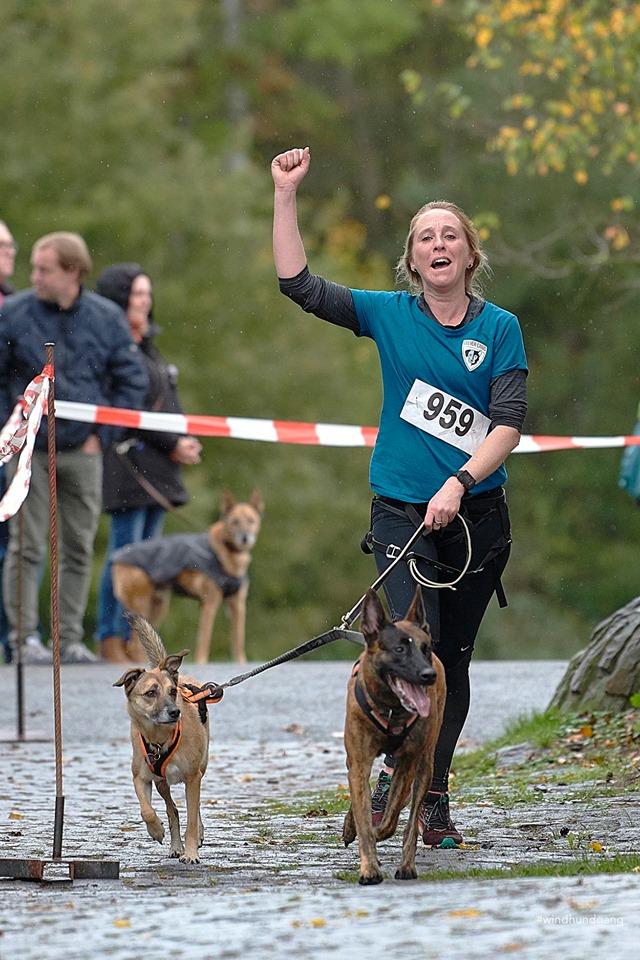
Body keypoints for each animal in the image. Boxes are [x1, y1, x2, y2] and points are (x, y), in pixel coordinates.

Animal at [111, 488, 264, 664]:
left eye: (251, 520)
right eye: (235, 522)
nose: (245, 537)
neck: (228, 552)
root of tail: (118, 556)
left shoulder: (237, 604)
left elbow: (238, 640)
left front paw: (241, 662)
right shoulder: (209, 603)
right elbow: (204, 639)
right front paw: (202, 662)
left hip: (158, 607)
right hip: (141, 604)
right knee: (134, 646)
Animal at [113, 613, 210, 864]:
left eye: (172, 692)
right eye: (150, 693)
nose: (175, 712)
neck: (160, 738)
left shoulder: (193, 778)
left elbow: (192, 818)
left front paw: (191, 853)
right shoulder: (141, 778)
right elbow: (146, 810)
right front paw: (156, 830)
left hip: (201, 767)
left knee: (193, 810)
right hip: (161, 783)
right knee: (172, 809)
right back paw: (175, 846)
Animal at [341, 587, 446, 884]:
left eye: (426, 648)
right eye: (399, 649)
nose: (428, 675)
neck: (391, 708)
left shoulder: (408, 762)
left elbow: (391, 819)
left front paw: (378, 842)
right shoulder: (359, 762)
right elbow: (364, 814)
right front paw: (369, 868)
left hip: (425, 764)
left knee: (408, 818)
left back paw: (406, 865)